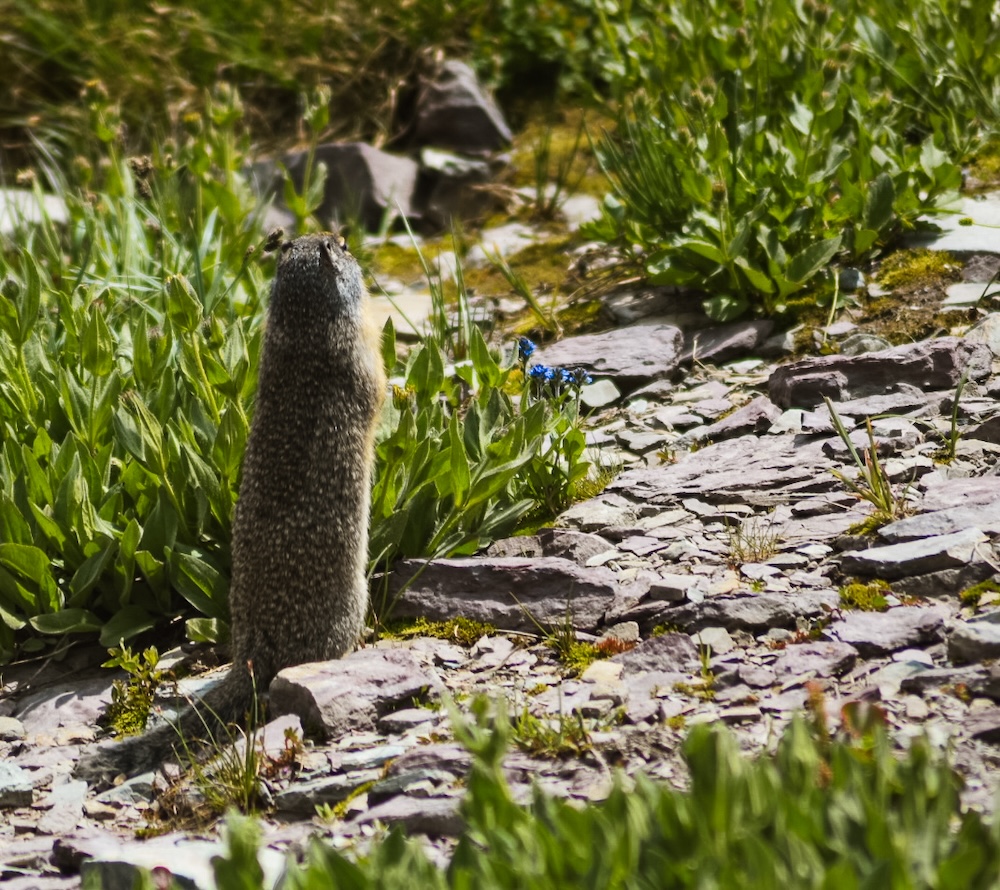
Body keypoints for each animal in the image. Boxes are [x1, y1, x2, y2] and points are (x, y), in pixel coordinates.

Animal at [74, 231, 384, 776]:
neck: (299, 326)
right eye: (343, 245)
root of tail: (249, 661)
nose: (349, 241)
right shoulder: (360, 359)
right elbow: (379, 389)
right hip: (349, 605)